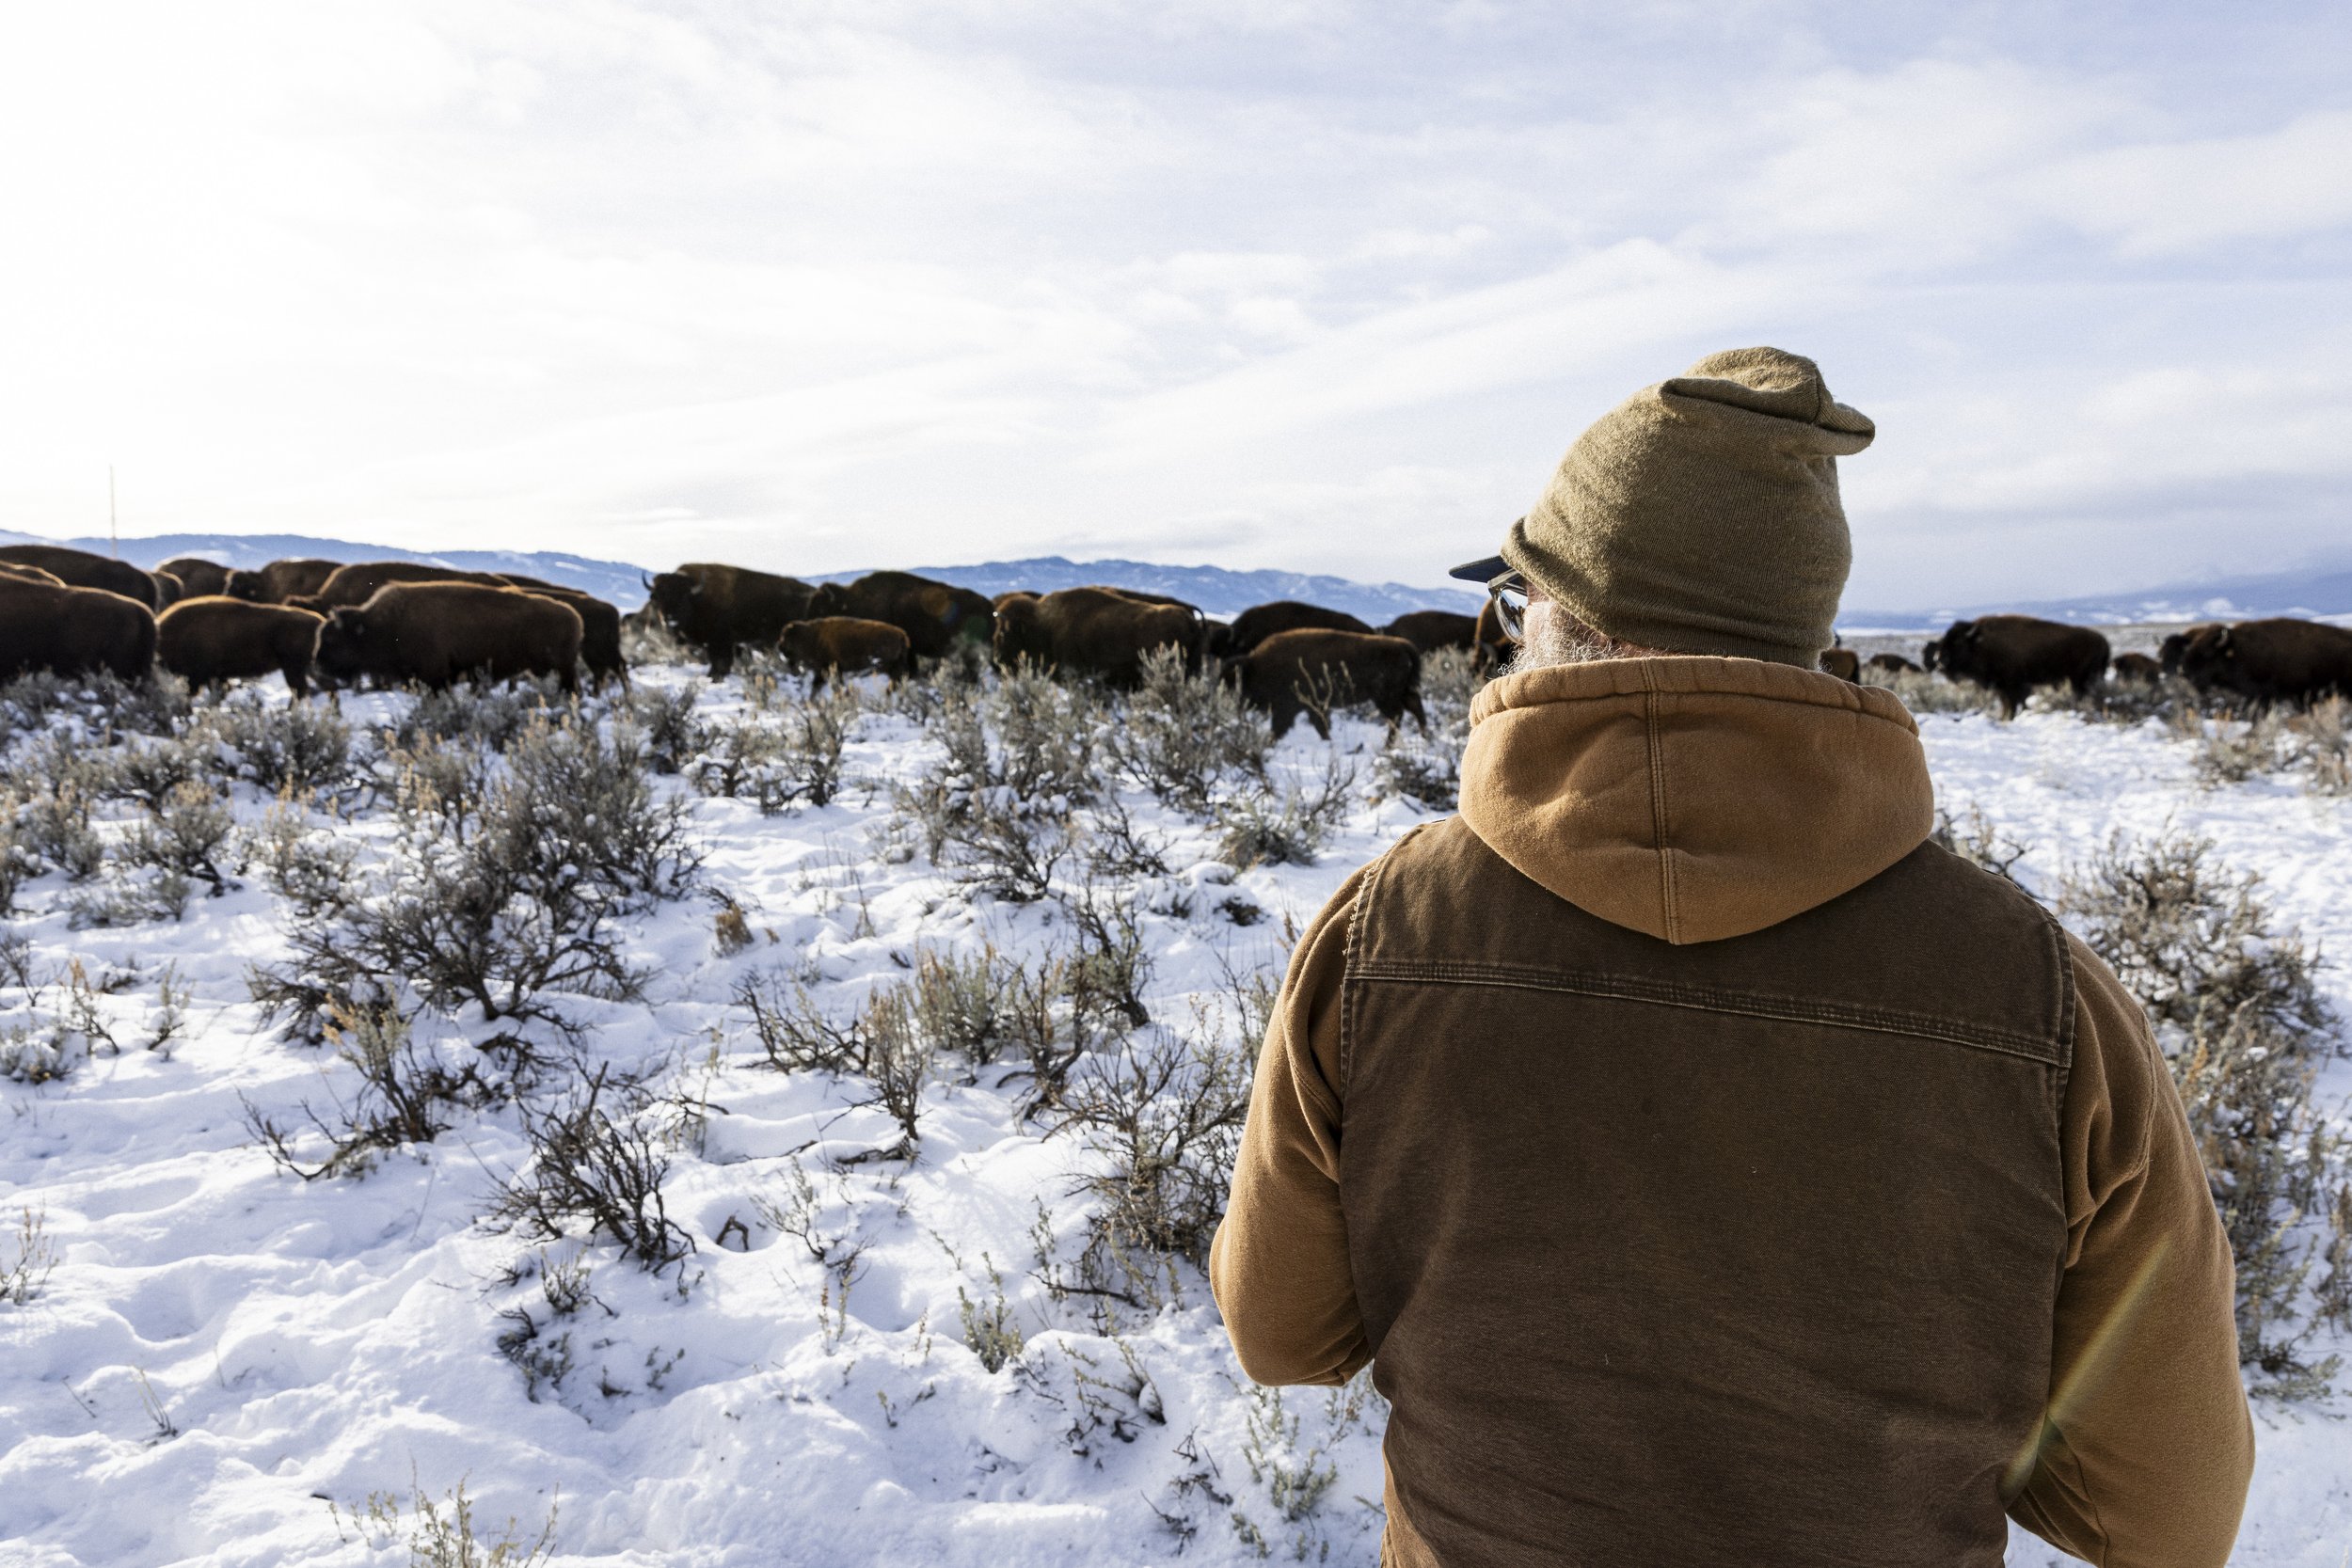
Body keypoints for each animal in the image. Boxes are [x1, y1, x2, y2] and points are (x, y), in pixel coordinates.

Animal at [647, 563, 819, 679]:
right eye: (658, 597)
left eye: (683, 597)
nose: (669, 619)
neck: (699, 597)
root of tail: (813, 593)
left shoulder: (721, 642)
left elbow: (721, 661)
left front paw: (715, 676)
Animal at [779, 617, 913, 692]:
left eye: (785, 639)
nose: (780, 648)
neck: (811, 637)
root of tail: (902, 636)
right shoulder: (824, 672)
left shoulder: (831, 669)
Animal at [1229, 628, 1427, 741]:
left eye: (1243, 683)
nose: (1237, 704)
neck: (1258, 667)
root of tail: (1402, 646)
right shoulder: (1312, 707)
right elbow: (1319, 725)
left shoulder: (1290, 708)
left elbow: (1282, 727)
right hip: (1402, 692)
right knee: (1415, 708)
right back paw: (1425, 737)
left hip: (1385, 698)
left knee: (1397, 716)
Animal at [1924, 616, 2110, 717]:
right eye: (1944, 639)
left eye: (1958, 642)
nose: (1939, 660)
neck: (1980, 643)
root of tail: (2103, 641)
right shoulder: (2002, 686)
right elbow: (2007, 702)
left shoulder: (2011, 684)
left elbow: (2012, 702)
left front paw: (2008, 717)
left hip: (2080, 678)